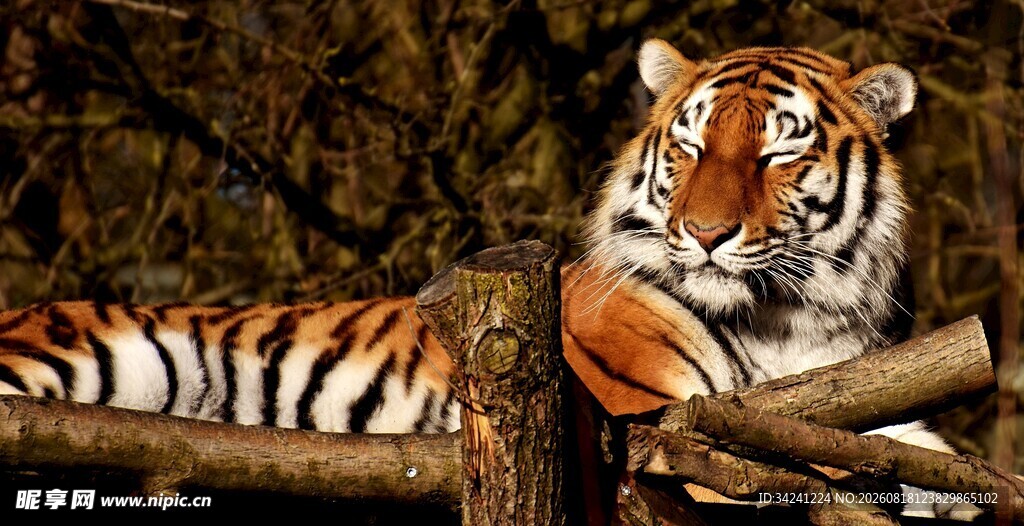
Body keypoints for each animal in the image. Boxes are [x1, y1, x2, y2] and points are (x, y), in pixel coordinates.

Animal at [0, 40, 975, 519]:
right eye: (693, 146)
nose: (704, 235)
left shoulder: (873, 408)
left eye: (776, 152)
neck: (790, 321)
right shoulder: (656, 429)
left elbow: (936, 461)